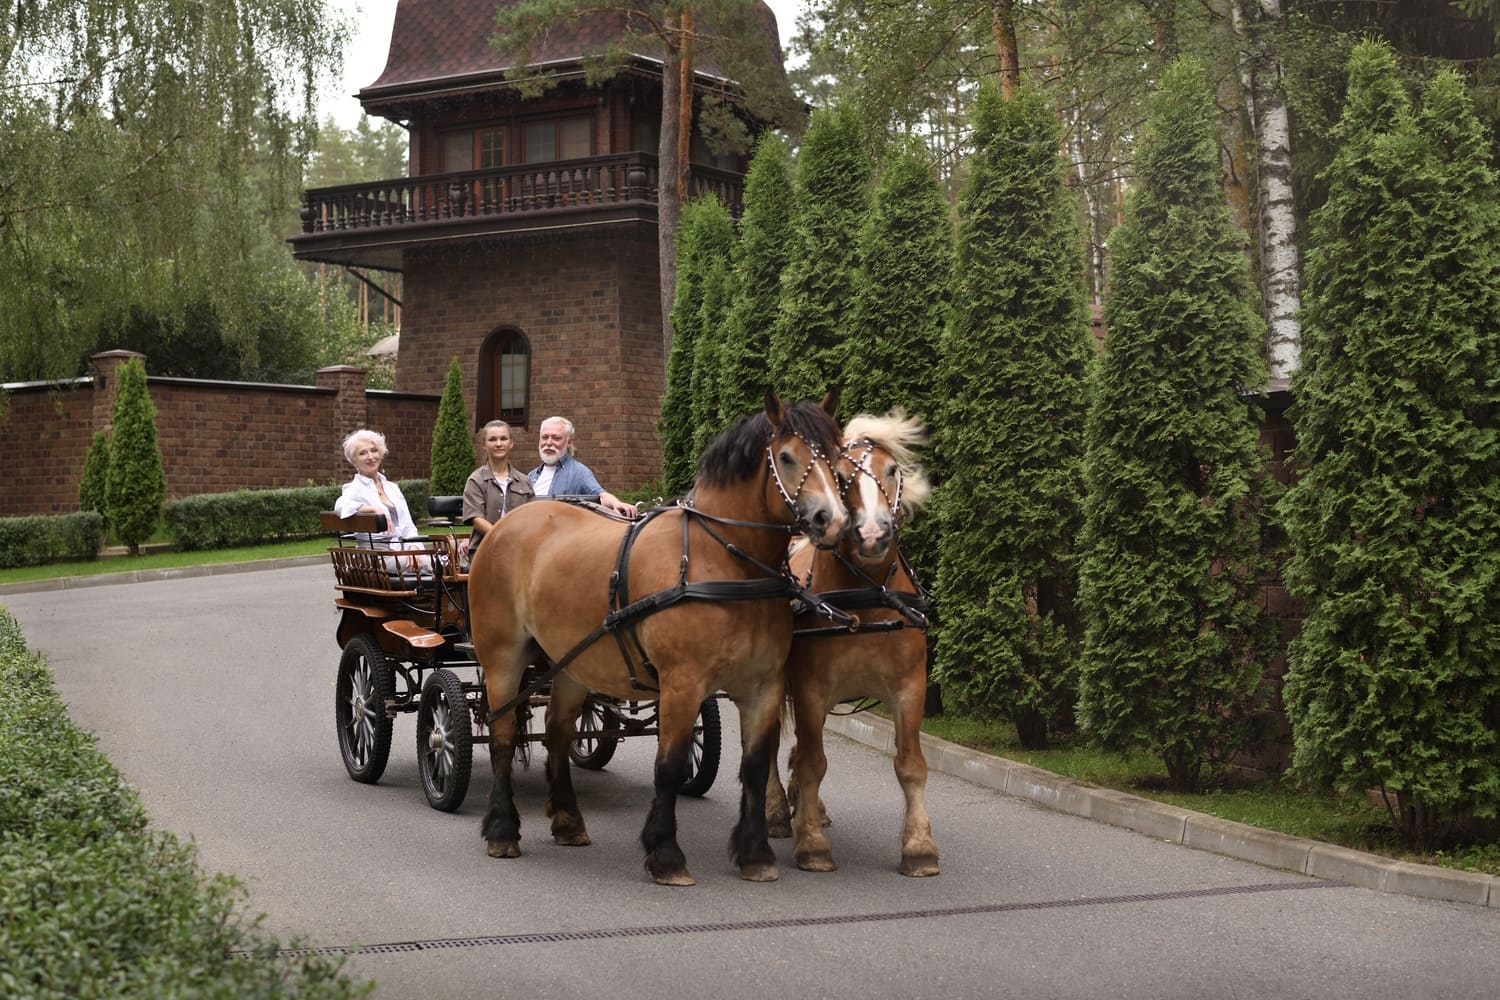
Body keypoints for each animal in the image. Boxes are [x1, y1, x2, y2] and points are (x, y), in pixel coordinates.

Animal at [468, 389, 846, 881]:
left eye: (838, 454)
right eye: (786, 457)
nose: (832, 520)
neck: (719, 561)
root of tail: (507, 525)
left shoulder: (763, 685)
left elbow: (755, 767)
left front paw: (756, 853)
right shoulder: (682, 685)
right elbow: (668, 765)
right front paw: (665, 853)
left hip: (571, 662)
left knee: (557, 734)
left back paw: (567, 820)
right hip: (503, 657)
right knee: (503, 734)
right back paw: (501, 829)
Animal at [762, 407, 936, 875]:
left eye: (892, 470)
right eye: (840, 475)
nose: (873, 533)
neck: (869, 595)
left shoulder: (910, 689)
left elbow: (911, 766)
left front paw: (919, 846)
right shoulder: (809, 688)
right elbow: (813, 763)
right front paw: (811, 843)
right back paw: (776, 811)